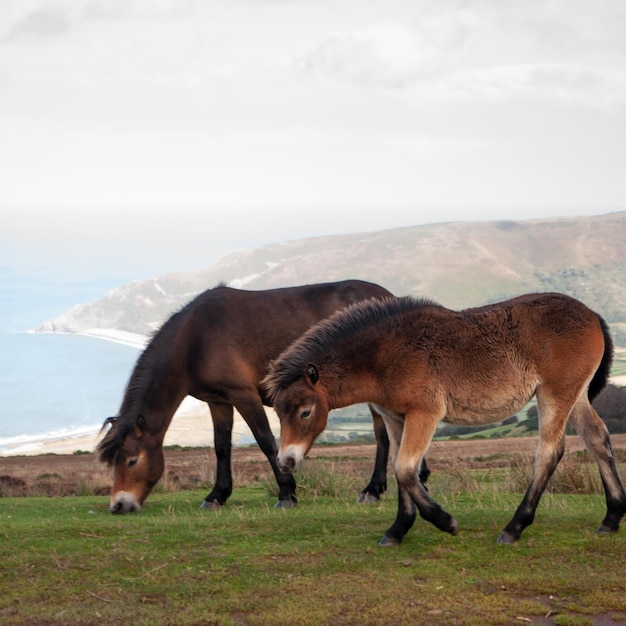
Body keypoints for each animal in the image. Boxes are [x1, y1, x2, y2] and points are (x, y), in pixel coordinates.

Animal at [97, 280, 426, 512]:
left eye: (132, 461)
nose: (119, 506)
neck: (195, 339)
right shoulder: (218, 401)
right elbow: (221, 447)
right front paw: (217, 495)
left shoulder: (244, 395)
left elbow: (267, 441)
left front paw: (286, 492)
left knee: (383, 434)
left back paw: (373, 489)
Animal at [264, 292, 624, 540]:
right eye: (278, 412)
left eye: (305, 412)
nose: (286, 461)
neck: (385, 355)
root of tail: (592, 314)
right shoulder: (395, 418)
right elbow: (399, 470)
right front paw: (397, 530)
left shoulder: (425, 413)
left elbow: (406, 469)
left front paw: (445, 522)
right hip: (576, 396)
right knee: (597, 439)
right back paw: (611, 518)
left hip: (554, 394)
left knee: (550, 451)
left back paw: (514, 527)